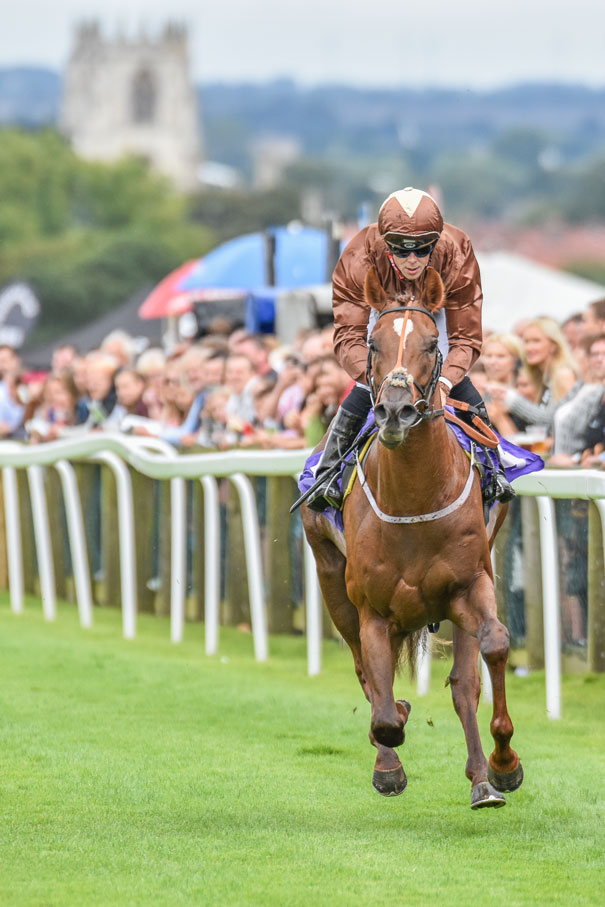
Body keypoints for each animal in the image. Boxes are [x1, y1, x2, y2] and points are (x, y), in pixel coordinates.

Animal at [304, 268, 520, 808]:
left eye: (430, 343)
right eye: (373, 344)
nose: (396, 411)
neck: (416, 499)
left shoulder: (471, 583)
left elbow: (494, 648)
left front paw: (504, 765)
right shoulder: (373, 610)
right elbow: (384, 712)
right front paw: (390, 759)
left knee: (464, 683)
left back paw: (482, 778)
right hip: (331, 581)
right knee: (365, 673)